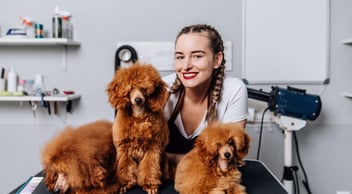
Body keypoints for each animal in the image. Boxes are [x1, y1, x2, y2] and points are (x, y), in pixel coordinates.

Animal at [106, 62, 169, 194]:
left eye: (144, 88)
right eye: (130, 88)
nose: (138, 100)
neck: (139, 116)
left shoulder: (153, 148)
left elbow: (149, 168)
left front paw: (150, 186)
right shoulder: (124, 148)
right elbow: (124, 167)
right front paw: (124, 185)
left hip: (164, 159)